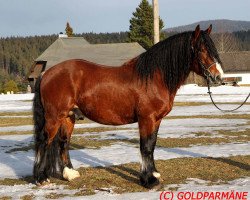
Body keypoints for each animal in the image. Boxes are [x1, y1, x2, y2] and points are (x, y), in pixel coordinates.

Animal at [32, 25, 223, 188]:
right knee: (44, 141)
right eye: (202, 50)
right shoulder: (146, 118)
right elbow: (145, 147)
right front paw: (148, 180)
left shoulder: (156, 120)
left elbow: (152, 145)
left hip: (68, 116)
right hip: (54, 117)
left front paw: (154, 173)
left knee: (63, 142)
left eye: (213, 49)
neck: (153, 78)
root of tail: (46, 73)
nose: (219, 77)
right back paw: (41, 178)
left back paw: (70, 174)